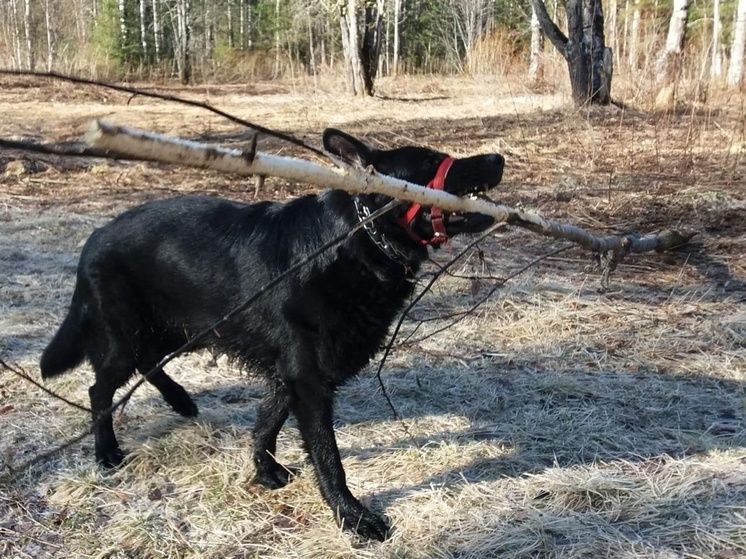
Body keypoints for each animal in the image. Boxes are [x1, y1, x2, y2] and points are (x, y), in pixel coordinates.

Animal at [42, 129, 506, 540]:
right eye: (429, 163)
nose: (498, 158)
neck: (356, 239)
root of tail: (95, 238)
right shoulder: (308, 380)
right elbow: (327, 457)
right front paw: (351, 516)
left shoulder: (292, 374)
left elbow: (267, 423)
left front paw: (264, 471)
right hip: (129, 335)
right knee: (100, 388)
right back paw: (107, 451)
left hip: (174, 330)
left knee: (147, 364)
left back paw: (180, 400)